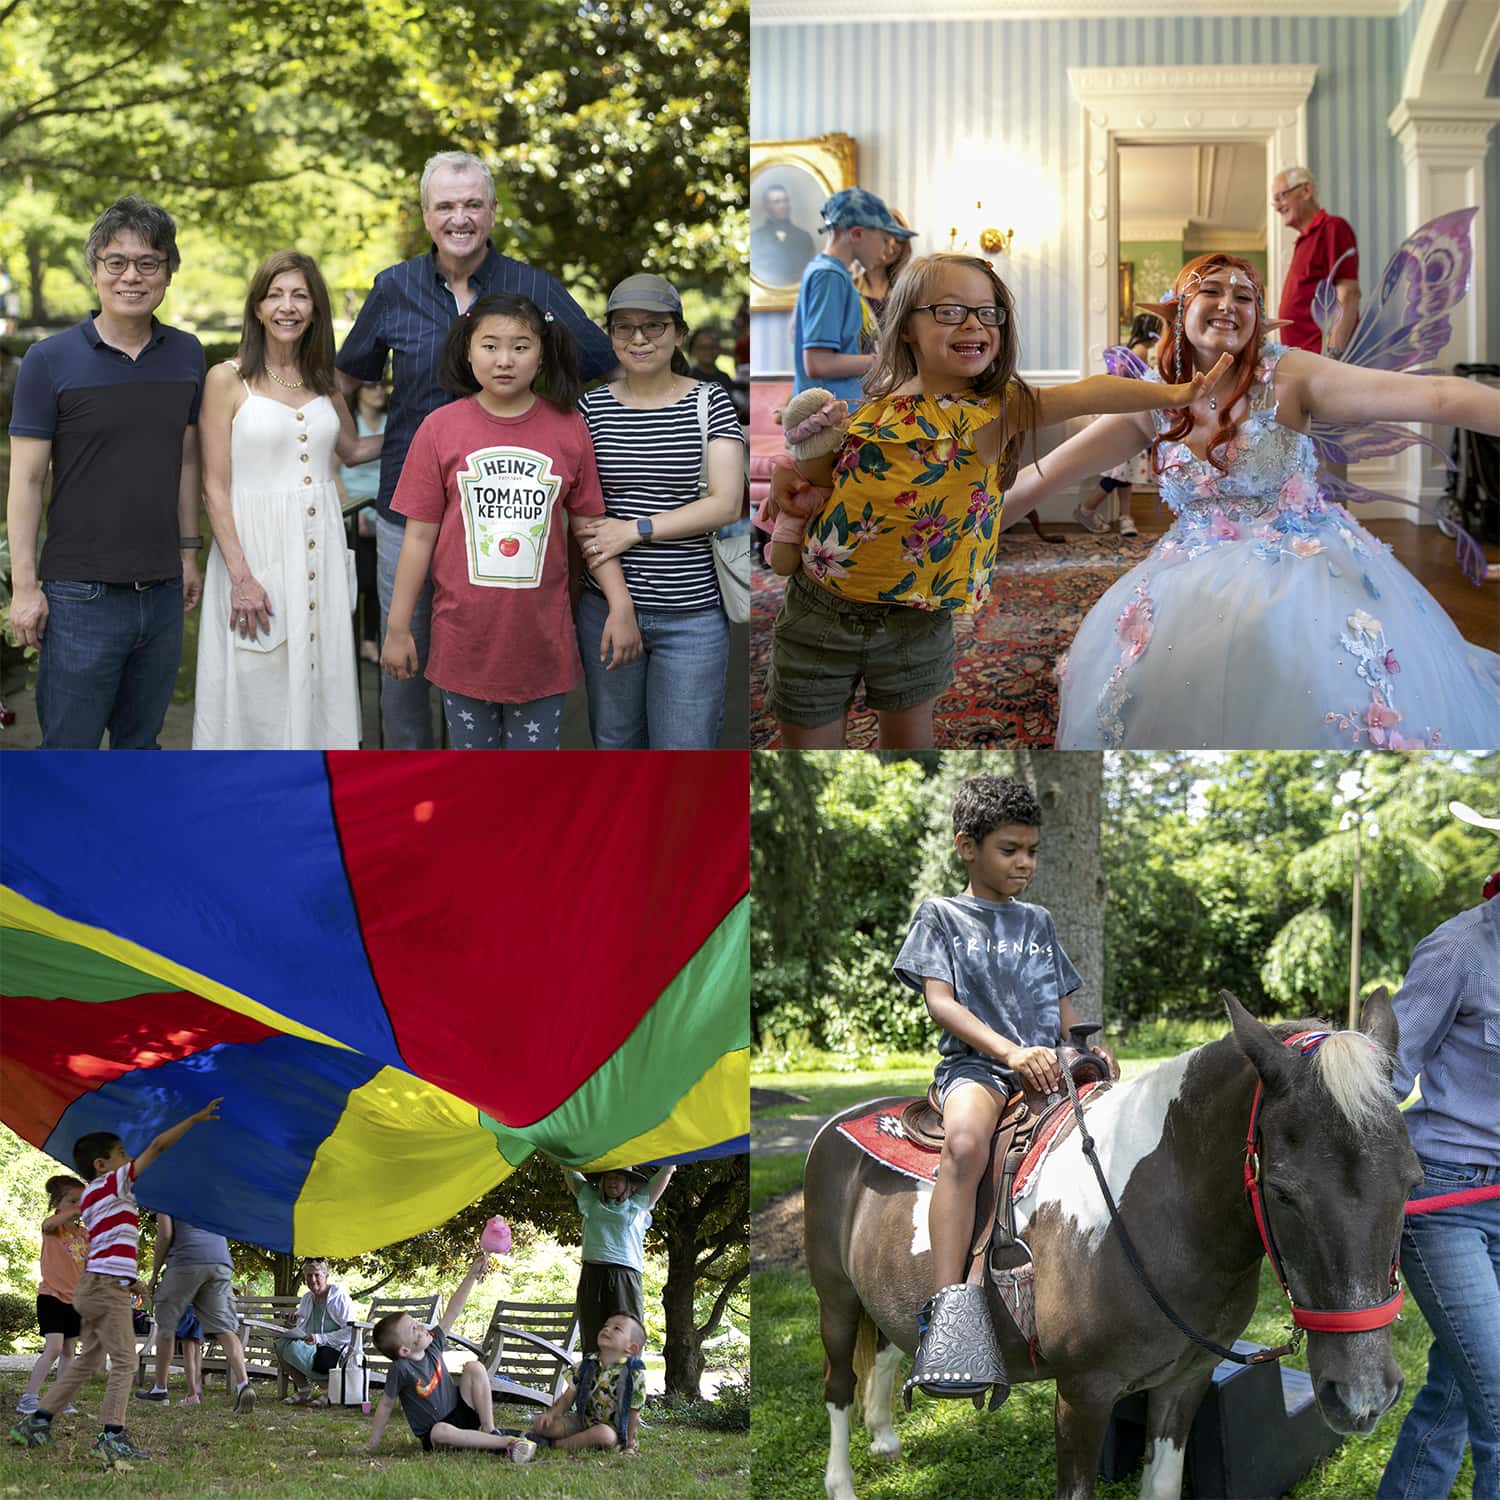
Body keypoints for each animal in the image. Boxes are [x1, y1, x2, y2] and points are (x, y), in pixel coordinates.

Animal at [798, 990, 1416, 1494]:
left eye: (1412, 1180)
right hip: (835, 1300)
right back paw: (841, 1482)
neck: (1161, 1212)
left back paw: (884, 1438)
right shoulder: (1083, 1395)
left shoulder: (1185, 1381)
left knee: (885, 1346)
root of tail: (841, 1121)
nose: (1364, 1397)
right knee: (837, 1384)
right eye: (1284, 1193)